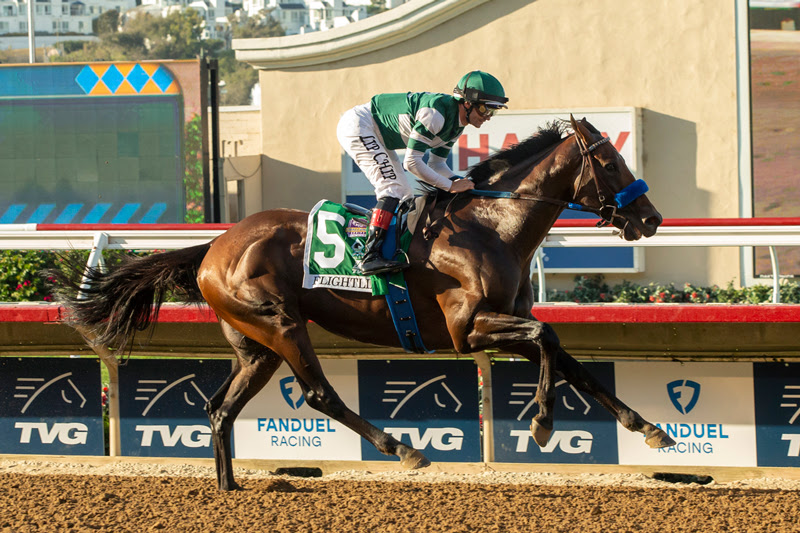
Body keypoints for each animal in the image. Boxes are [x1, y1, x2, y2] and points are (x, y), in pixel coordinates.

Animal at [55, 115, 674, 491]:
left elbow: (567, 357)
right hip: (280, 324)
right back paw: (402, 448)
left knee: (219, 408)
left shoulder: (509, 320)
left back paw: (230, 487)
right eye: (610, 163)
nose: (651, 219)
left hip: (255, 346)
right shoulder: (468, 329)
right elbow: (548, 340)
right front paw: (543, 423)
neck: (491, 226)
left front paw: (648, 428)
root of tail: (214, 246)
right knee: (317, 393)